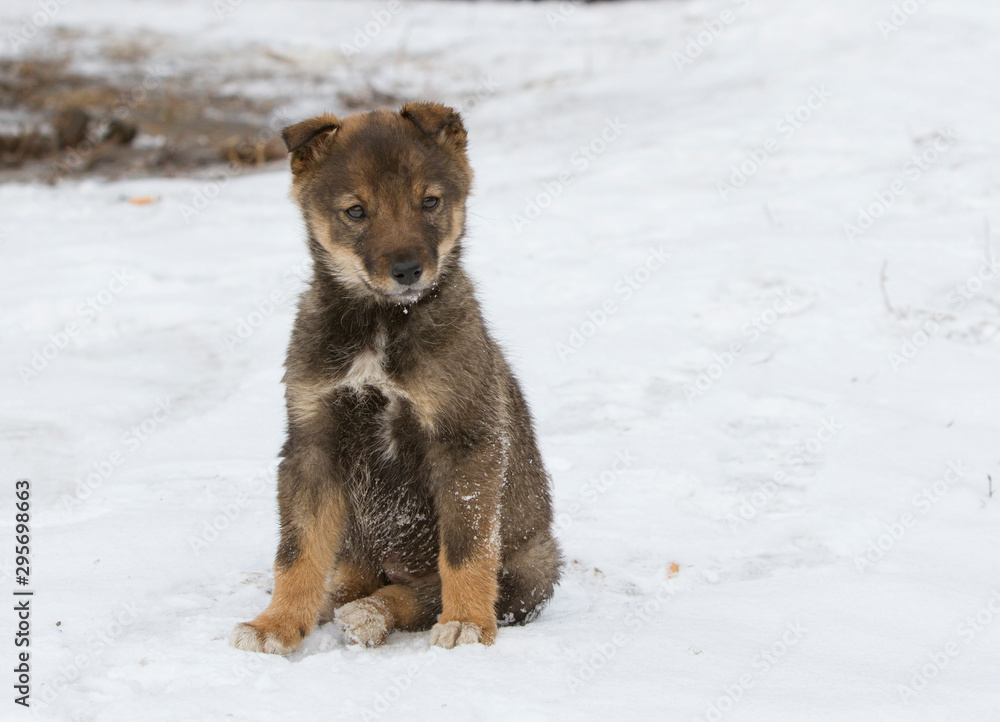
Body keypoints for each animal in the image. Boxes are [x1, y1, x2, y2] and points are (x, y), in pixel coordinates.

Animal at [233, 102, 564, 652]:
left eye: (429, 202)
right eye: (355, 211)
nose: (408, 270)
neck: (380, 324)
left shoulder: (464, 439)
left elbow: (467, 550)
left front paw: (468, 621)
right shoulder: (312, 443)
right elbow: (298, 551)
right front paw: (276, 623)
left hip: (534, 565)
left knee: (424, 592)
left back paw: (375, 611)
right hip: (357, 538)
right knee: (347, 574)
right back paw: (339, 600)